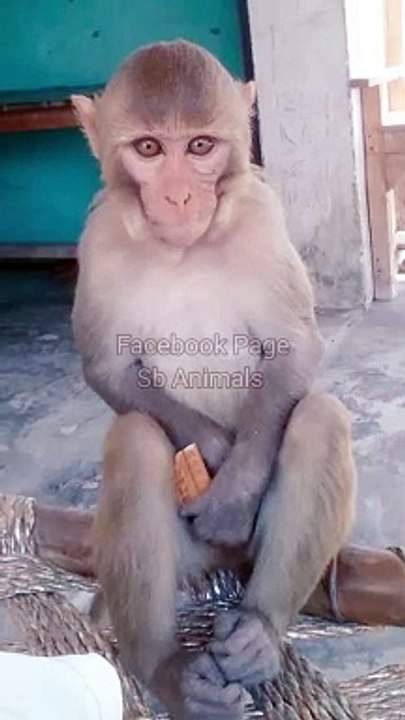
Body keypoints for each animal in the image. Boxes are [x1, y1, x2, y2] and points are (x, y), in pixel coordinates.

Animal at [71, 40, 357, 720]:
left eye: (200, 146)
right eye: (150, 148)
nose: (178, 197)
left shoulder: (261, 216)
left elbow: (292, 346)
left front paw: (233, 490)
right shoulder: (98, 238)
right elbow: (109, 367)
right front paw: (217, 454)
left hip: (252, 554)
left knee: (320, 419)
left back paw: (258, 630)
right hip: (186, 558)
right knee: (136, 440)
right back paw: (168, 670)